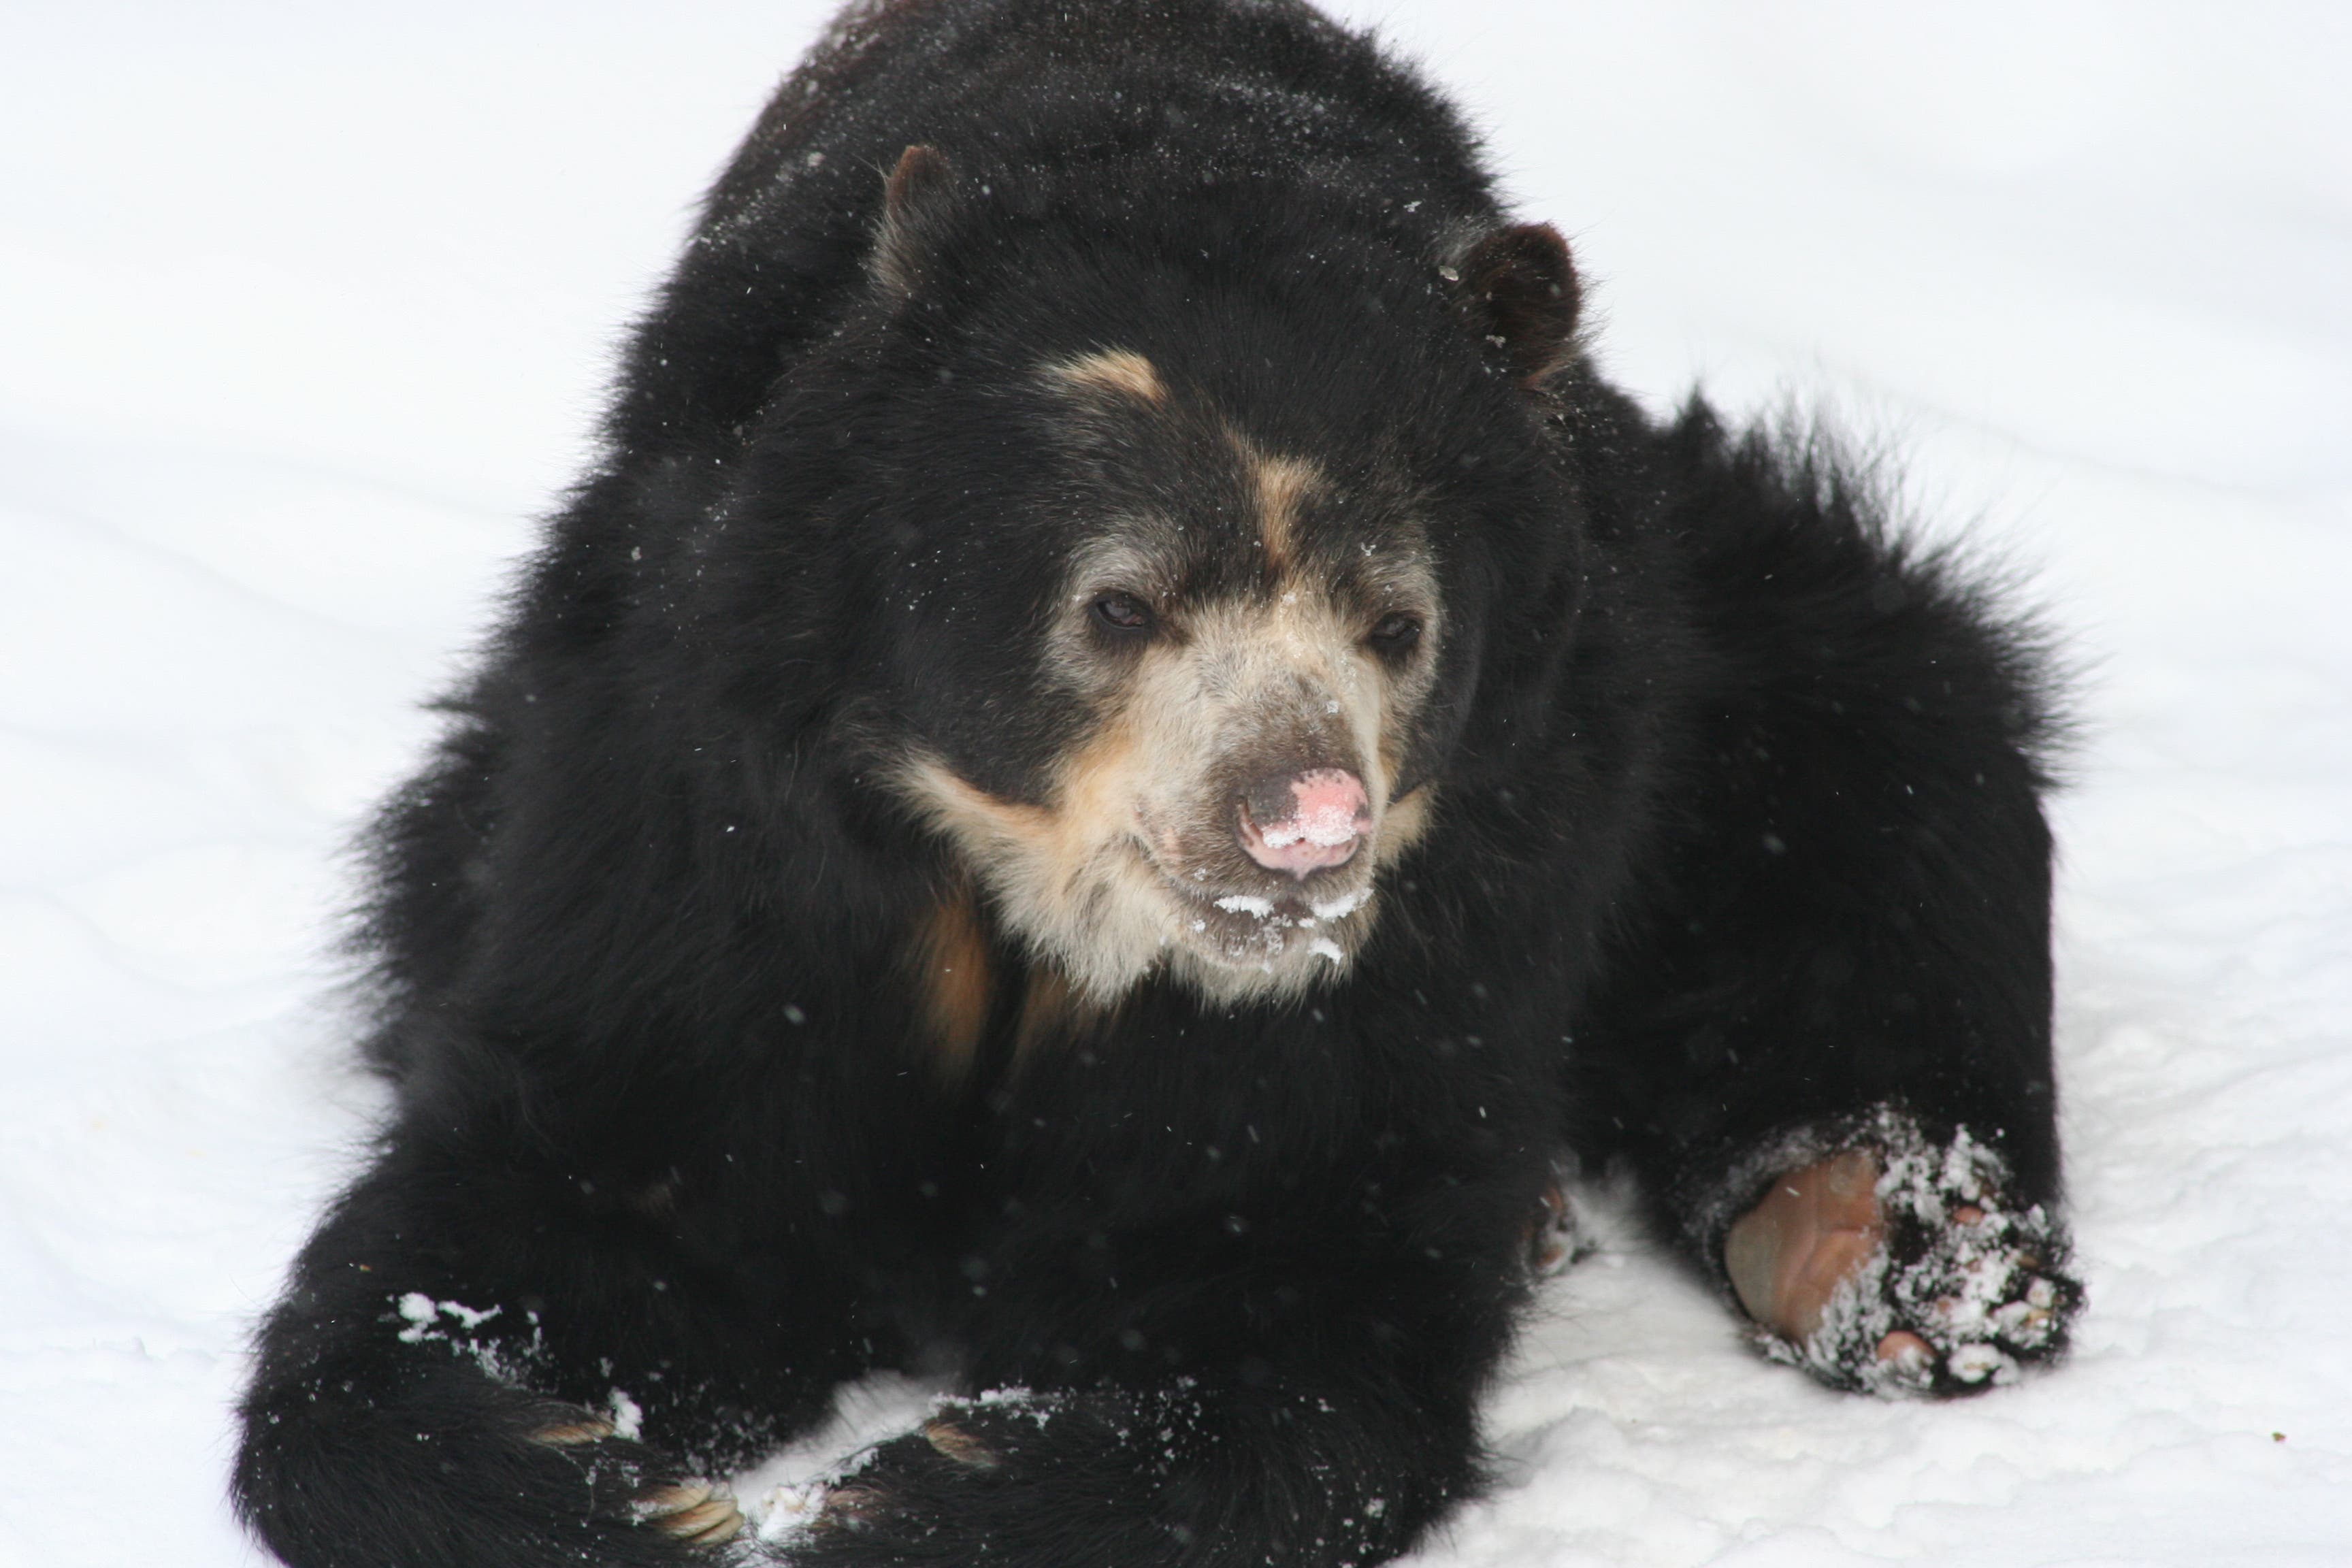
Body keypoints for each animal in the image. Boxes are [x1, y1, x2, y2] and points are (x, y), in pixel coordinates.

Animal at [233, 1, 2082, 1564]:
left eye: (1396, 624)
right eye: (1117, 606)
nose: (1303, 825)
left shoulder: (1465, 879)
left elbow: (1281, 1254)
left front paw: (900, 1502)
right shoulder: (715, 780)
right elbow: (615, 1153)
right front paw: (598, 1480)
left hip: (1731, 631)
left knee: (1894, 760)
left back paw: (1885, 1242)